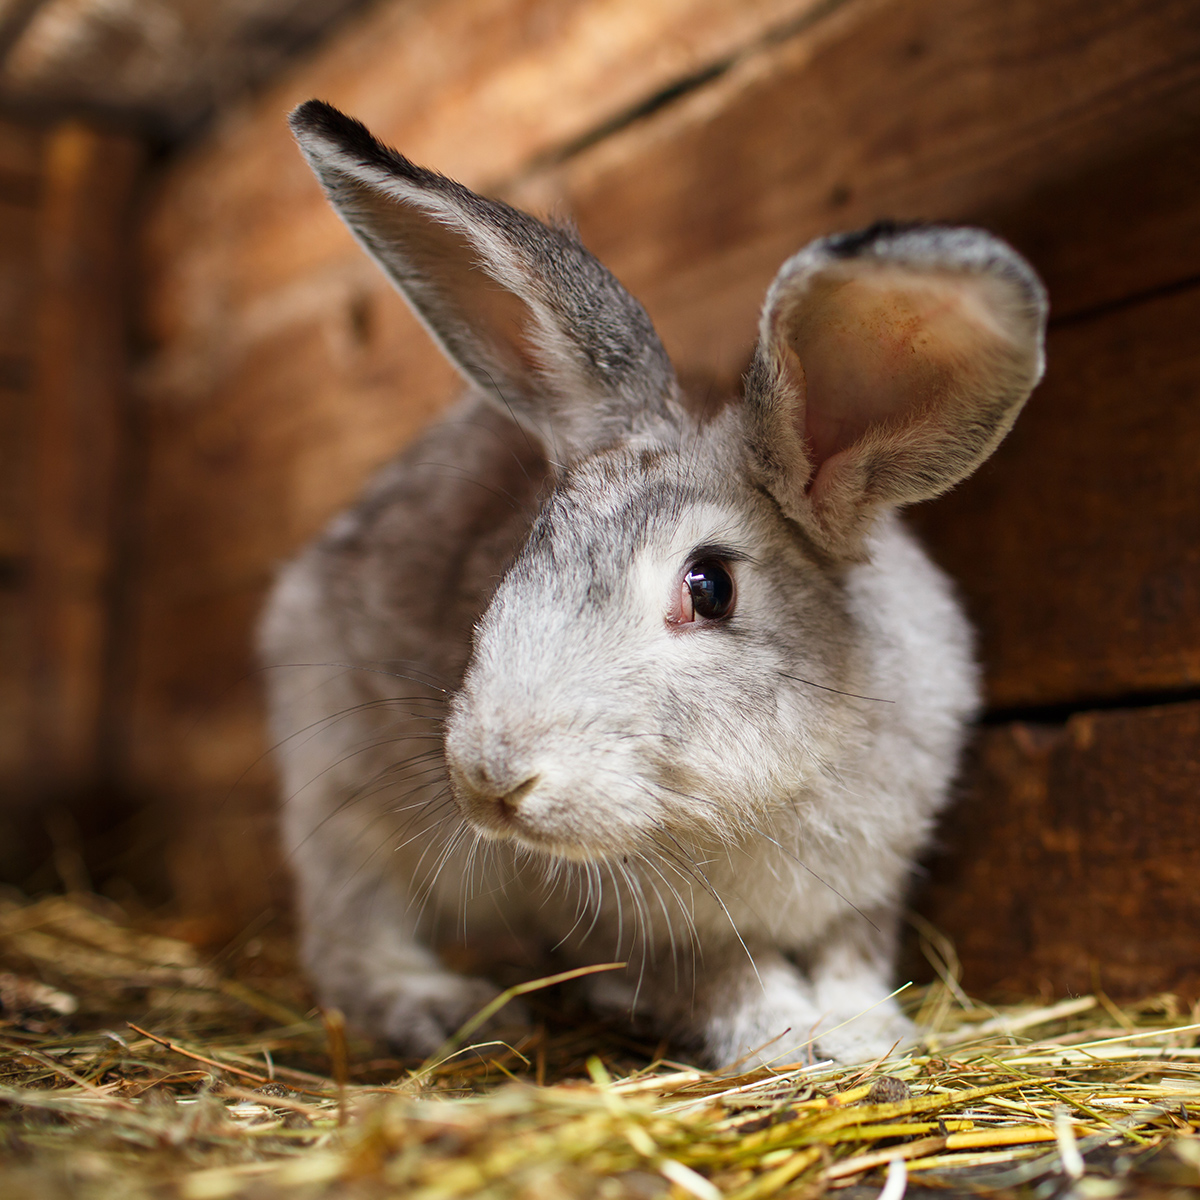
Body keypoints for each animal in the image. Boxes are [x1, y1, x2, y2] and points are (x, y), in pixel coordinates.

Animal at [258, 98, 1046, 1065]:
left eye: (709, 588)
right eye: (531, 547)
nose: (492, 777)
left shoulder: (871, 887)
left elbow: (852, 954)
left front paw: (868, 1034)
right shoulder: (646, 932)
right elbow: (725, 976)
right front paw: (782, 1038)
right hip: (339, 798)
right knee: (350, 933)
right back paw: (434, 1004)